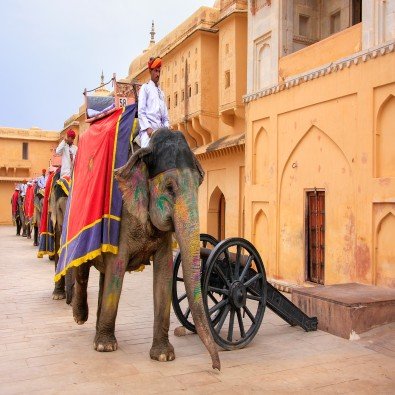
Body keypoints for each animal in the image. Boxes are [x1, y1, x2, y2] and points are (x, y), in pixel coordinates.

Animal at [72, 129, 221, 372]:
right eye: (169, 188)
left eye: (199, 184)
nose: (216, 367)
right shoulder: (122, 218)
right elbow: (117, 267)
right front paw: (105, 347)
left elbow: (164, 274)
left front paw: (164, 356)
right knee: (82, 267)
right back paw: (81, 318)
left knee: (103, 276)